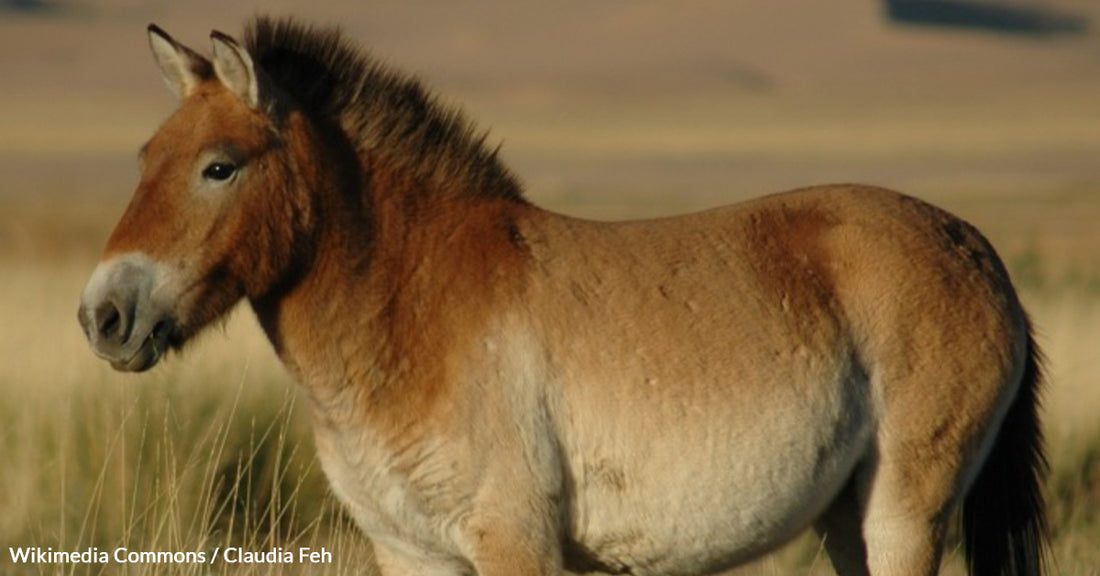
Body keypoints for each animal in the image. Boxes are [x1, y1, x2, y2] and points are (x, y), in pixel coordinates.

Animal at [79, 16, 1047, 576]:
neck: (415, 309)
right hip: (847, 518)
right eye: (143, 158)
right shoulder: (411, 552)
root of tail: (973, 248)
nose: (103, 317)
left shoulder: (514, 542)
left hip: (904, 514)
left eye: (218, 167)